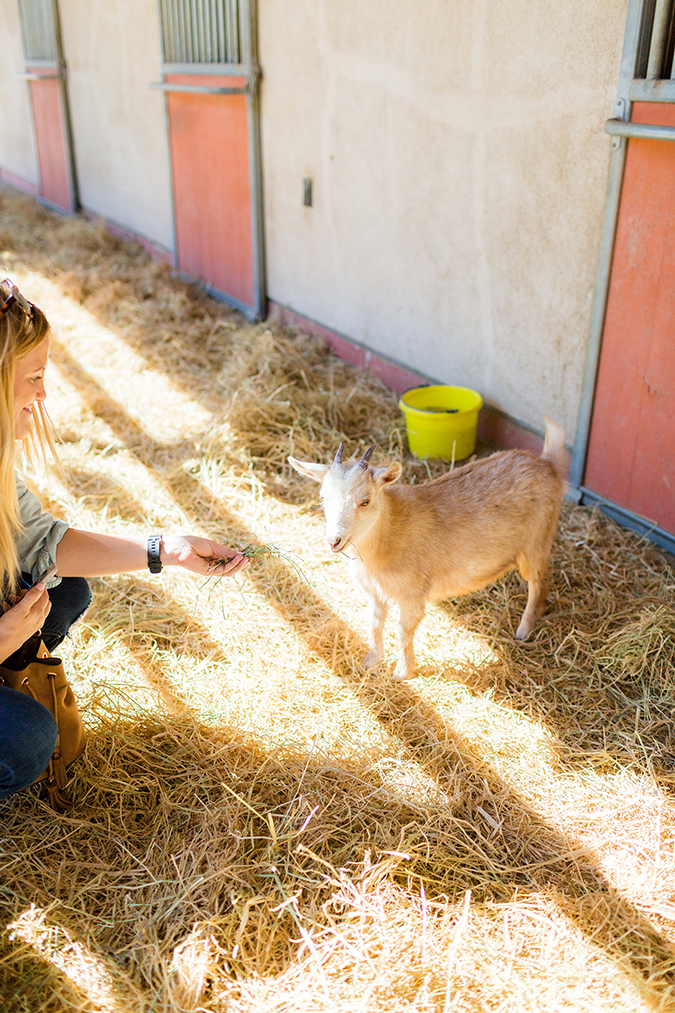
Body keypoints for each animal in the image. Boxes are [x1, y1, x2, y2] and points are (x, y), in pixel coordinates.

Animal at [285, 415, 563, 684]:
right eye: (323, 497)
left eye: (365, 501)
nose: (334, 540)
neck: (390, 532)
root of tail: (548, 464)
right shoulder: (375, 591)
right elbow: (374, 623)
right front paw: (371, 661)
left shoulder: (413, 594)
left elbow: (403, 630)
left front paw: (402, 673)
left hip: (536, 542)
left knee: (540, 580)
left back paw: (524, 630)